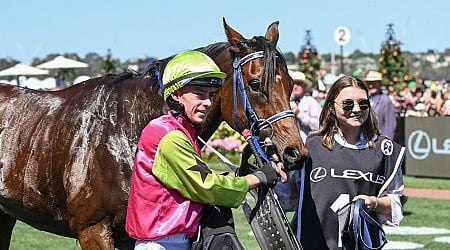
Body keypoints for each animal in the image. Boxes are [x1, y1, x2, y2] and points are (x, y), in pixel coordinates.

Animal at [0, 18, 306, 249]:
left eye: (291, 84)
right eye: (255, 84)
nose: (295, 153)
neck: (127, 129)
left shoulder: (126, 235)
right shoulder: (93, 229)